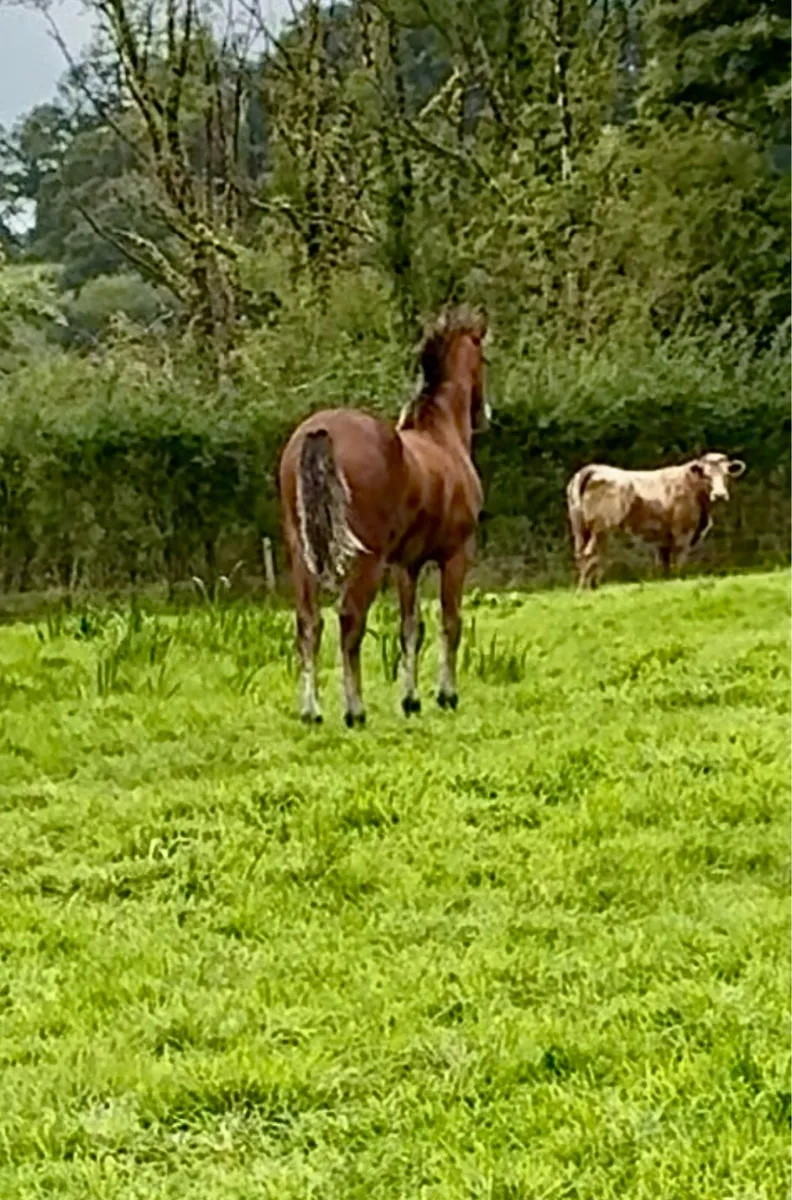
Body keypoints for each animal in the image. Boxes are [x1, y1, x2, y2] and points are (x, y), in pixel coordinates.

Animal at [278, 306, 489, 726]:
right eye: (484, 360)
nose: (485, 413)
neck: (441, 437)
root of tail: (318, 431)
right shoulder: (455, 556)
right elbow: (450, 622)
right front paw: (446, 695)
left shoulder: (406, 564)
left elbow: (411, 629)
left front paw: (411, 700)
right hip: (366, 560)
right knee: (349, 620)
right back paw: (355, 711)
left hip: (302, 555)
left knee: (309, 623)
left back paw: (312, 711)